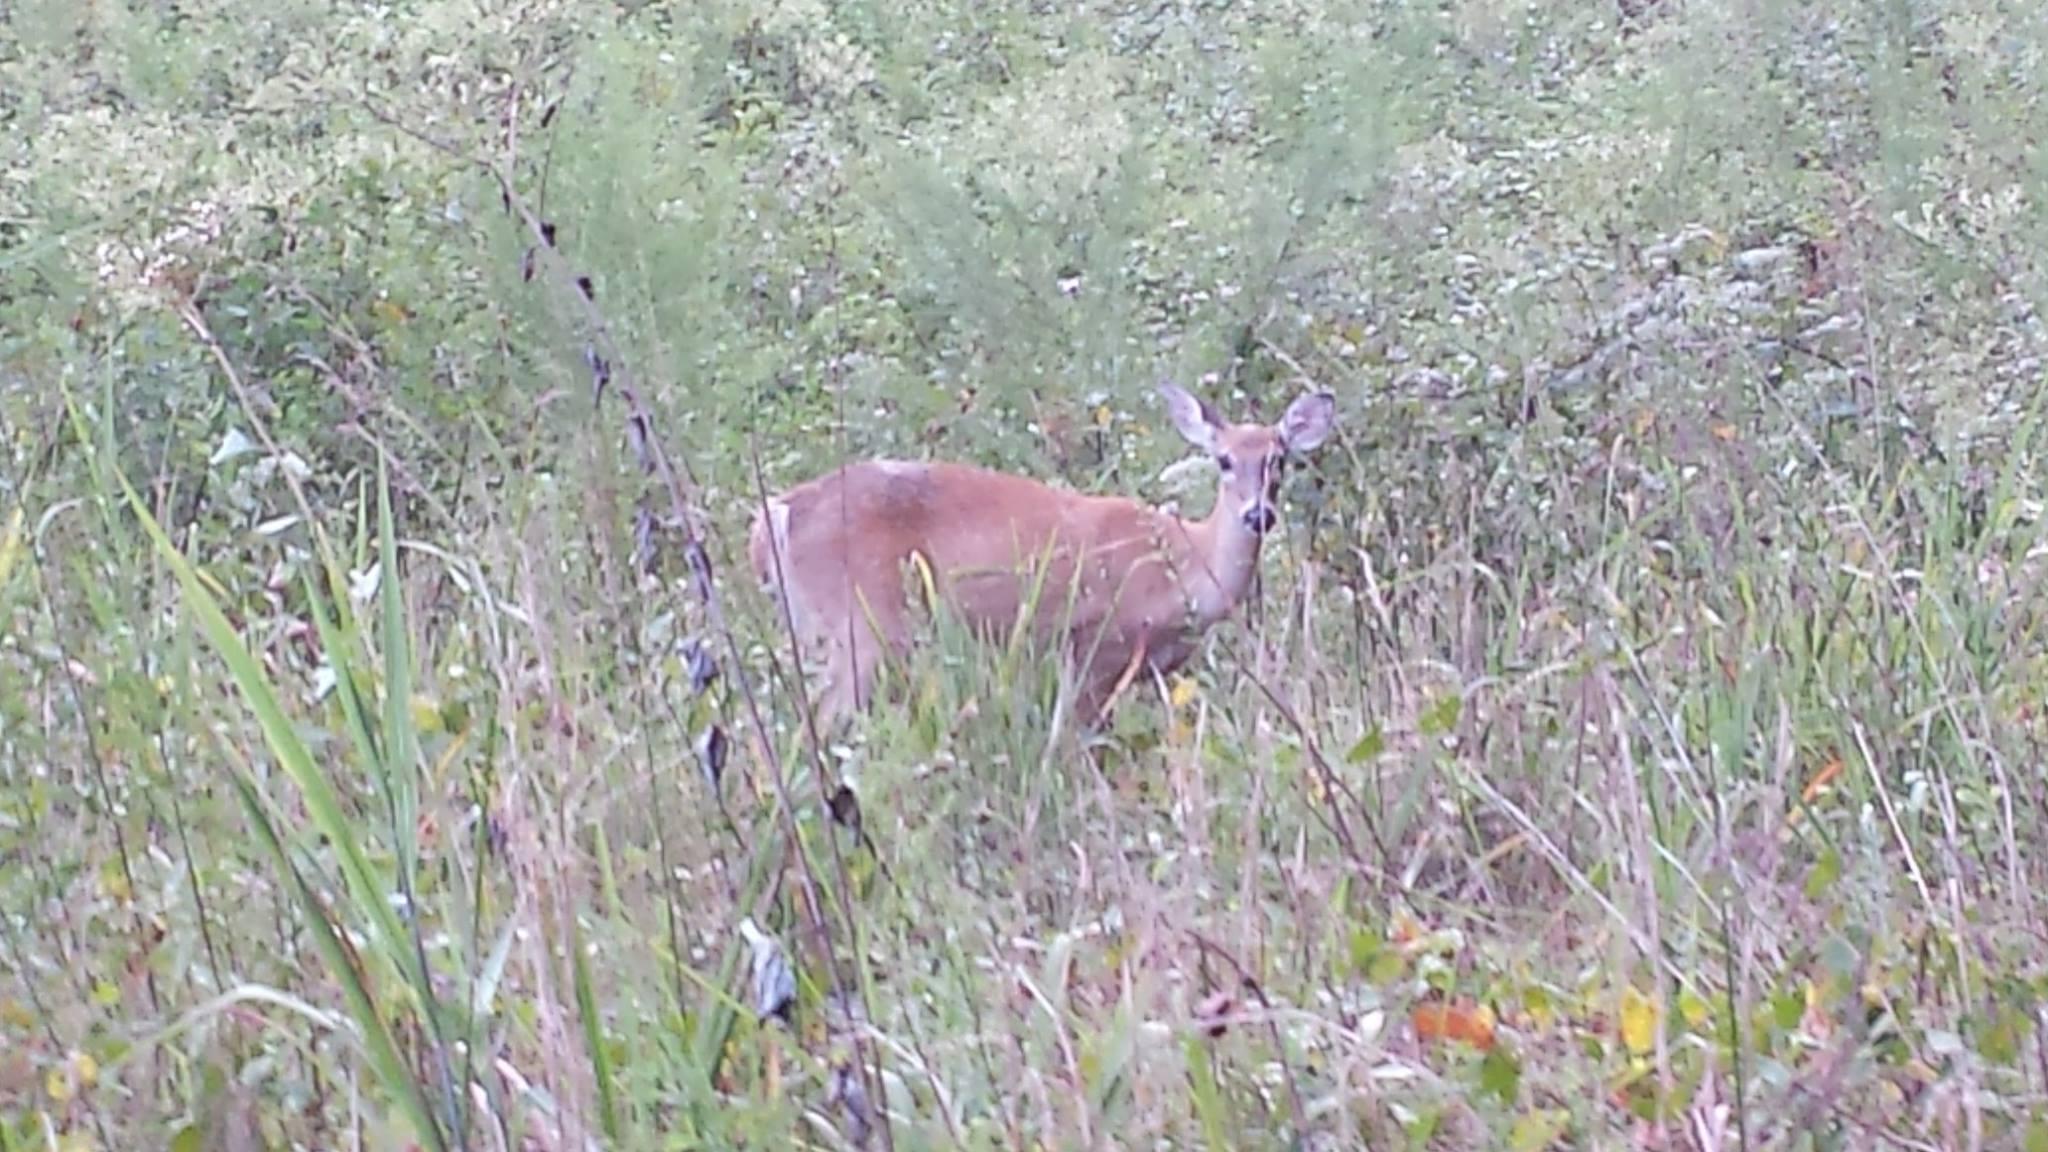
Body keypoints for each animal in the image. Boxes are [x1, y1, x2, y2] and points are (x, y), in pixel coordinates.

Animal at [746, 381, 1338, 731]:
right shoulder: (1095, 644)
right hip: (863, 619)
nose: (1259, 515)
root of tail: (775, 515)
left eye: (1281, 460)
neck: (1182, 566)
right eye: (1223, 461)